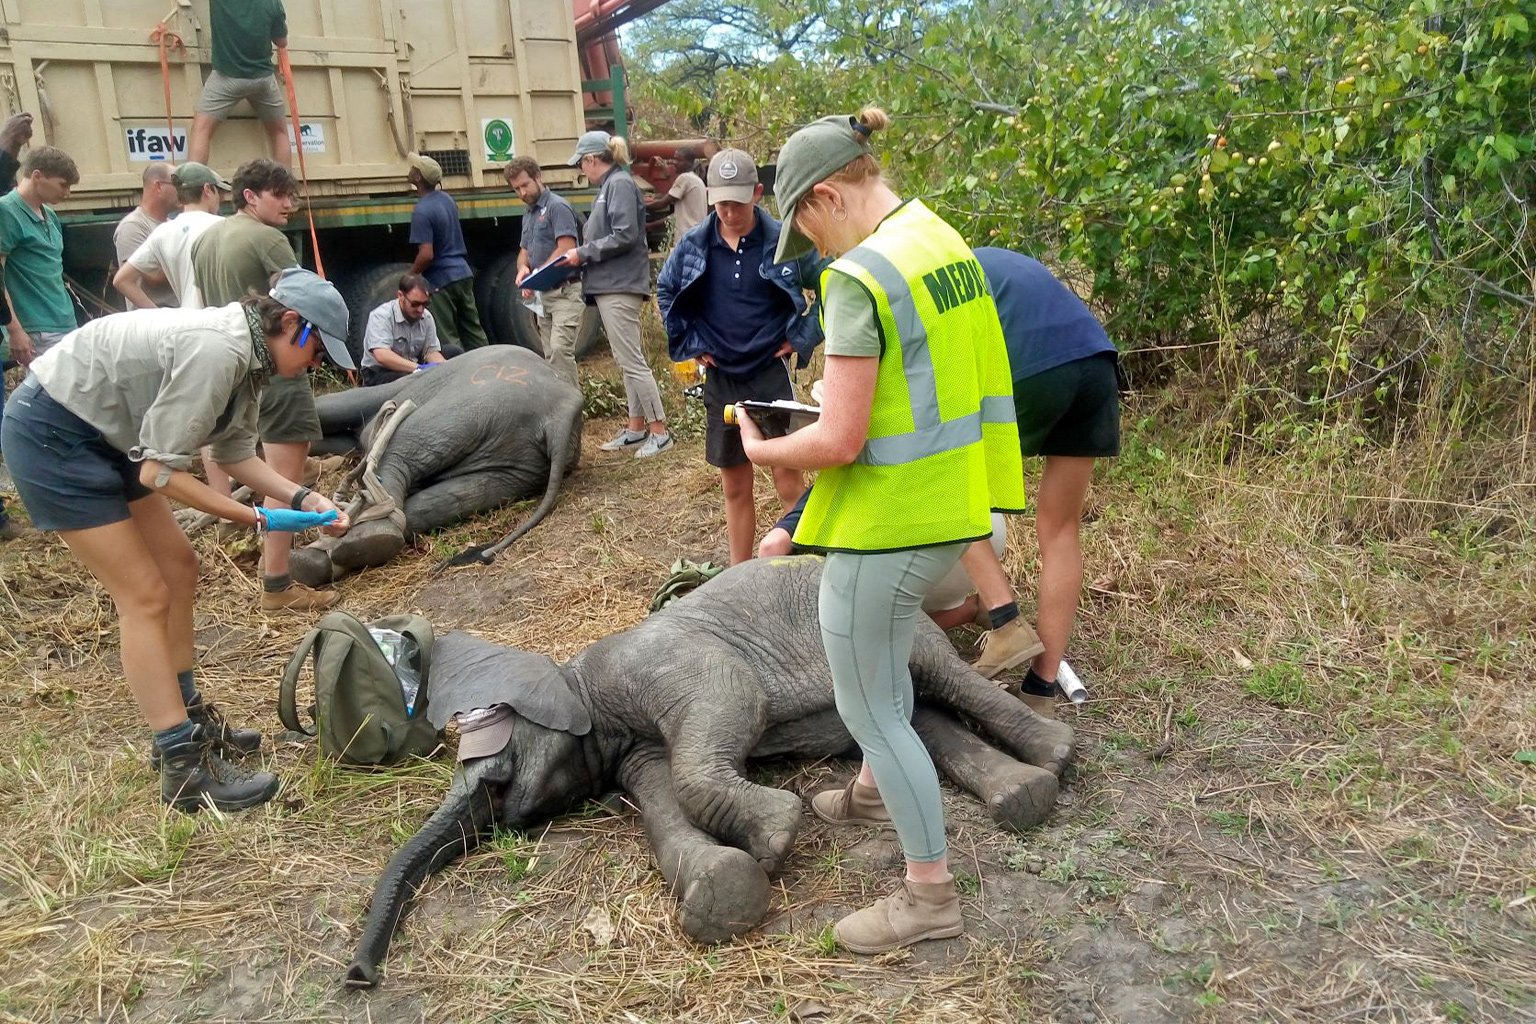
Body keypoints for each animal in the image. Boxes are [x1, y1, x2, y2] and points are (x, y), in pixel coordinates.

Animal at [288, 346, 580, 583]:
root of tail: (561, 411)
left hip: (474, 403)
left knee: (402, 444)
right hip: (519, 461)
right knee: (457, 496)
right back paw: (328, 556)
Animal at [348, 555, 1075, 988]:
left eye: (495, 782)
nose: (361, 977)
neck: (575, 678)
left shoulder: (670, 666)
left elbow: (726, 713)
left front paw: (777, 836)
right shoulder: (629, 745)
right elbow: (662, 796)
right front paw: (725, 893)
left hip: (889, 622)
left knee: (939, 674)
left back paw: (1054, 759)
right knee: (915, 716)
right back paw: (1024, 793)